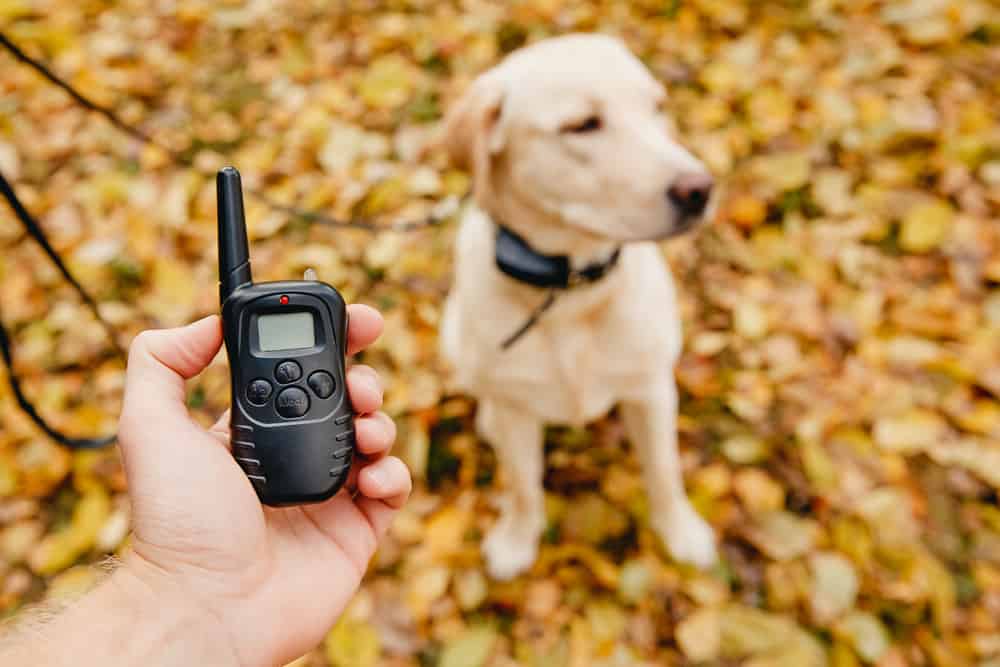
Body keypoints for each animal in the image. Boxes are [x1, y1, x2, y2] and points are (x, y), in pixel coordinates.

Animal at [442, 34, 716, 580]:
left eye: (657, 107)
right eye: (582, 125)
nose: (700, 189)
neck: (569, 292)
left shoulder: (652, 390)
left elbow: (664, 470)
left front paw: (680, 531)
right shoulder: (518, 409)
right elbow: (523, 485)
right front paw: (517, 539)